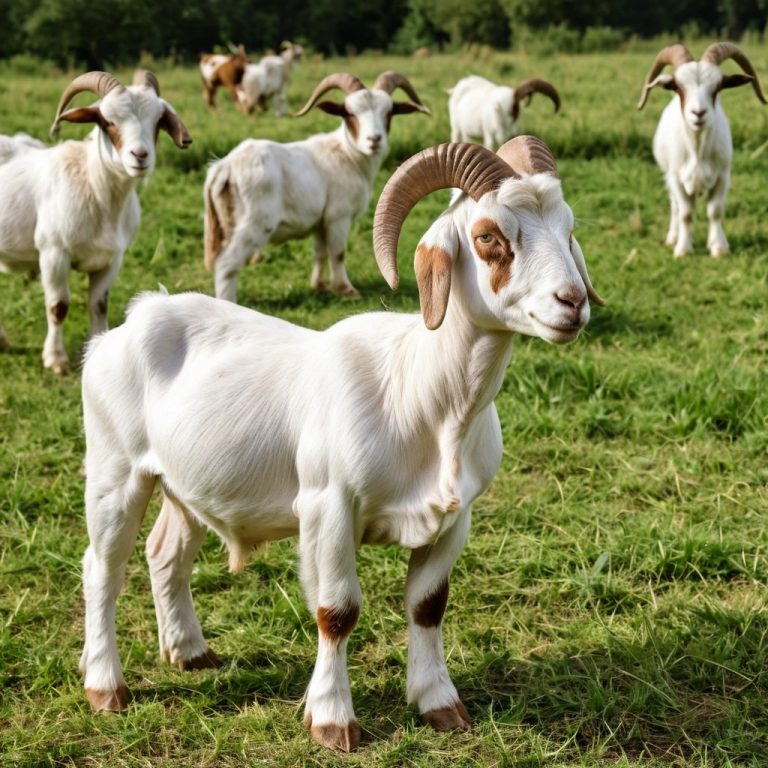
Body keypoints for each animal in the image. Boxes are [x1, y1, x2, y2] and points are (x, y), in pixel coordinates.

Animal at [0, 70, 191, 374]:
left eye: (157, 121)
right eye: (108, 121)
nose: (140, 156)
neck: (96, 189)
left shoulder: (112, 258)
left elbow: (99, 304)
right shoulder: (54, 253)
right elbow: (58, 306)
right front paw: (56, 360)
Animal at [79, 135, 602, 752]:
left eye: (568, 230)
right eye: (488, 236)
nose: (572, 302)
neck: (418, 395)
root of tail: (136, 316)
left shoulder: (458, 517)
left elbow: (429, 606)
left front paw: (440, 705)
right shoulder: (329, 505)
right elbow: (337, 611)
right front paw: (332, 721)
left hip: (183, 485)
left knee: (165, 555)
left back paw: (189, 653)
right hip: (115, 472)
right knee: (103, 569)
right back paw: (105, 687)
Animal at [204, 71, 429, 302]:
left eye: (389, 112)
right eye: (349, 113)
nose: (374, 140)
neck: (349, 155)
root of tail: (224, 167)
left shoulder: (321, 221)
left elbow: (319, 252)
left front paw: (319, 286)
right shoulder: (338, 216)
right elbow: (338, 253)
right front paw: (346, 290)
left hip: (225, 224)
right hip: (255, 223)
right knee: (227, 264)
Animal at [638, 42, 766, 257]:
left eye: (718, 86)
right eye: (677, 86)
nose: (698, 113)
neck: (697, 152)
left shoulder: (723, 177)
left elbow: (715, 211)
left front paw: (719, 249)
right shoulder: (676, 178)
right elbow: (686, 213)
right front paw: (682, 250)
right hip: (668, 177)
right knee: (675, 206)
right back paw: (672, 238)